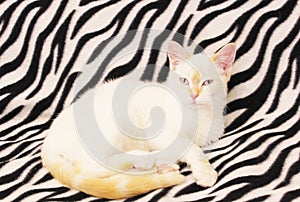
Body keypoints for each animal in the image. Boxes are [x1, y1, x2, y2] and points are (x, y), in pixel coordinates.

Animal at [40, 40, 237, 199]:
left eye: (207, 83)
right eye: (184, 81)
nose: (193, 95)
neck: (200, 116)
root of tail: (48, 141)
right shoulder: (158, 131)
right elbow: (190, 146)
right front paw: (205, 169)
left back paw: (161, 165)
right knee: (88, 167)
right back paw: (145, 159)